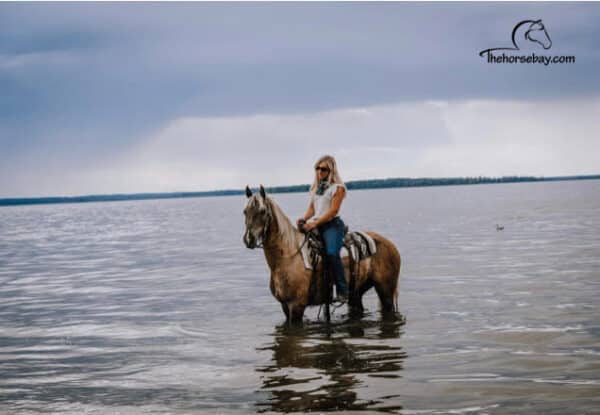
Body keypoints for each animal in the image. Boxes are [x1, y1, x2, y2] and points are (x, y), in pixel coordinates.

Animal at [243, 185, 401, 325]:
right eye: (245, 211)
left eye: (262, 211)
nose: (248, 239)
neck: (288, 257)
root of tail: (391, 245)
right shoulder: (285, 306)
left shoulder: (297, 306)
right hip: (357, 293)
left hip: (386, 291)